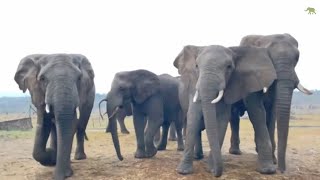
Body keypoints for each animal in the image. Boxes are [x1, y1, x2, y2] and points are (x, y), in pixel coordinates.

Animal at [174, 44, 278, 176]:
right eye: (196, 66)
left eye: (229, 67)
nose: (215, 172)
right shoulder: (194, 85)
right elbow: (194, 117)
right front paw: (183, 171)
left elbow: (222, 120)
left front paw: (211, 169)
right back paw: (197, 158)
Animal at [240, 33, 312, 173]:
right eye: (269, 58)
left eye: (297, 58)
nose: (282, 170)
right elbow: (257, 110)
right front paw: (267, 168)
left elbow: (272, 113)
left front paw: (273, 161)